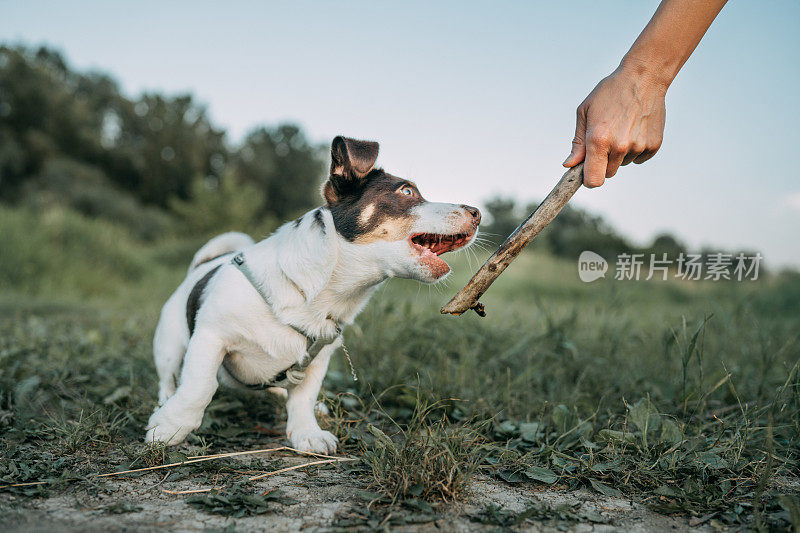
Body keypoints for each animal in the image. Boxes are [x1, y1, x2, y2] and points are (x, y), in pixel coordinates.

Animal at [145, 135, 482, 450]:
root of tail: (202, 264)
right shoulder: (211, 337)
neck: (314, 293)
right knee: (170, 378)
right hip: (168, 344)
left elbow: (303, 398)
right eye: (407, 192)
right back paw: (165, 402)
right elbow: (198, 386)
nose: (477, 212)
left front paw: (307, 432)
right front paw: (172, 426)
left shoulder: (318, 362)